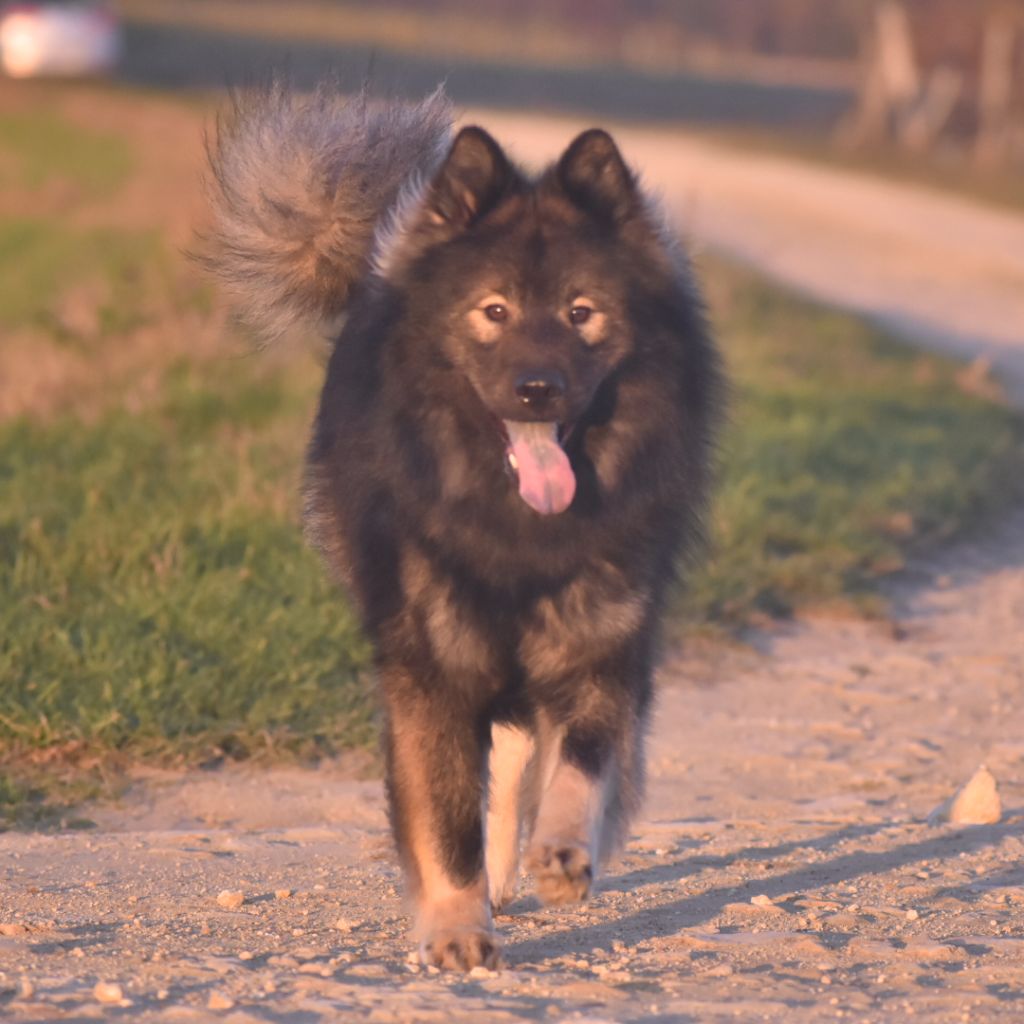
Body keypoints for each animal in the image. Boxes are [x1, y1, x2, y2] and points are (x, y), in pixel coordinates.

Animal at [201, 81, 720, 966]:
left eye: (581, 313)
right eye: (495, 311)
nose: (538, 388)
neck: (514, 525)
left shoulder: (600, 647)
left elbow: (582, 761)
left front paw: (562, 854)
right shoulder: (432, 669)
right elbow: (445, 819)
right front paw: (455, 928)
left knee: (518, 755)